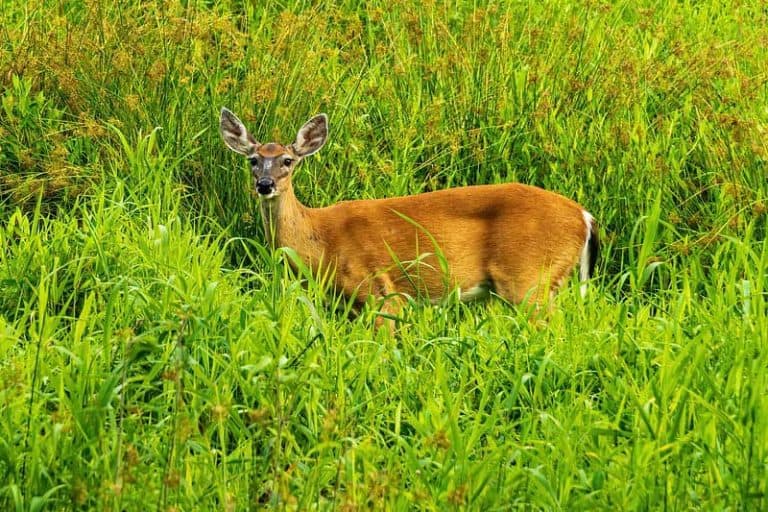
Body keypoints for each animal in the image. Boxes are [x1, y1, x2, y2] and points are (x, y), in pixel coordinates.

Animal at [219, 108, 600, 330]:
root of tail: (584, 216)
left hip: (530, 278)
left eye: (288, 161)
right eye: (253, 159)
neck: (320, 239)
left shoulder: (380, 292)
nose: (265, 184)